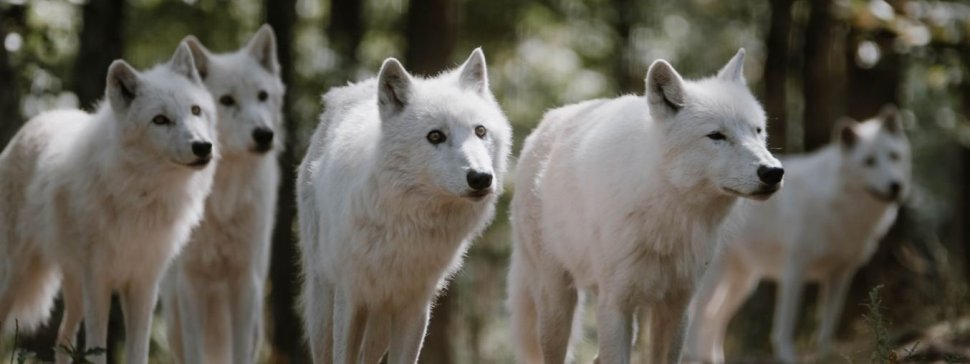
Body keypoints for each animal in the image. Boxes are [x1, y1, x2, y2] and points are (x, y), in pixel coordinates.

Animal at [0, 43, 214, 364]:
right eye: (160, 120)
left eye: (195, 110)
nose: (202, 147)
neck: (142, 196)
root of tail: (38, 119)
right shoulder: (98, 281)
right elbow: (96, 350)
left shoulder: (143, 284)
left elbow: (138, 353)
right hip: (17, 277)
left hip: (73, 288)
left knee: (62, 338)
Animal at [161, 24, 284, 364]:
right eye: (227, 100)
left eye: (262, 96)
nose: (264, 134)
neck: (224, 196)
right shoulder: (191, 283)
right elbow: (195, 353)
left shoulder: (245, 283)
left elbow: (240, 353)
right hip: (174, 318)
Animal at [294, 49, 510, 364]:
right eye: (435, 136)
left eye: (480, 131)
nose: (481, 178)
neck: (406, 221)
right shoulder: (351, 297)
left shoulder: (415, 306)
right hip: (323, 305)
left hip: (382, 320)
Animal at [502, 49, 784, 364]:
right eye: (716, 136)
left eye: (757, 131)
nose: (773, 172)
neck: (669, 213)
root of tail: (545, 122)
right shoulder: (616, 306)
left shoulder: (676, 308)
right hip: (558, 304)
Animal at [680, 105, 908, 364]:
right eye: (869, 162)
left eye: (894, 156)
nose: (895, 186)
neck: (840, 204)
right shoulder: (794, 272)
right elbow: (785, 327)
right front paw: (788, 357)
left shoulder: (840, 274)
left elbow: (828, 323)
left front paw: (826, 355)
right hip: (715, 280)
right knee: (698, 319)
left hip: (742, 283)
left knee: (713, 320)